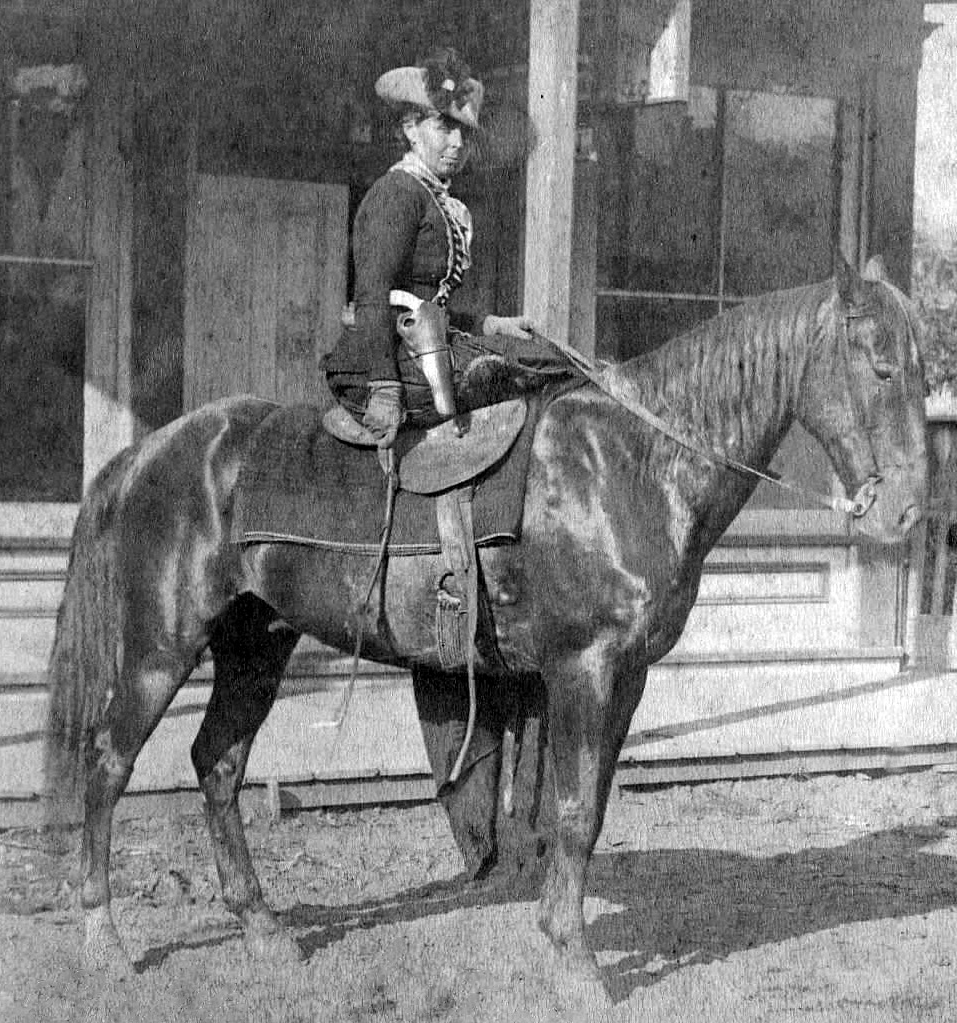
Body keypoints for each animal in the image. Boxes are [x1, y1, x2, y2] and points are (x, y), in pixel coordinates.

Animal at [45, 257, 929, 990]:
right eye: (879, 365)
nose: (908, 512)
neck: (631, 461)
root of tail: (152, 452)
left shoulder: (627, 677)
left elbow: (589, 808)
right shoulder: (581, 668)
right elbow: (571, 809)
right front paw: (575, 965)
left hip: (254, 646)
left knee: (218, 764)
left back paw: (262, 928)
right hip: (160, 649)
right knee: (109, 762)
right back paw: (102, 939)